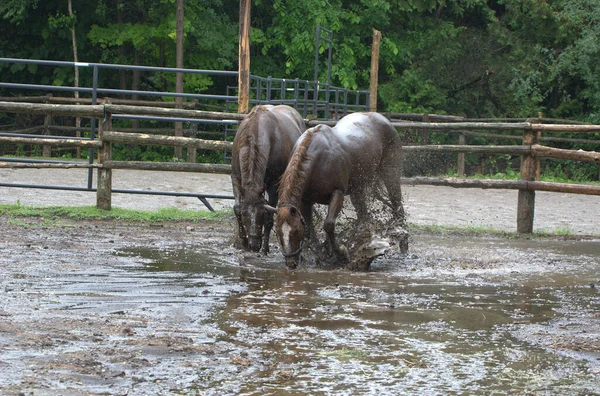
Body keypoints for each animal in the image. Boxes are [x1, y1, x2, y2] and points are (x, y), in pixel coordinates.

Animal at [230, 105, 304, 254]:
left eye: (261, 214)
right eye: (245, 214)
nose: (254, 245)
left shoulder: (273, 185)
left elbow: (270, 218)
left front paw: (265, 249)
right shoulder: (236, 178)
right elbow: (237, 207)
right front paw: (243, 241)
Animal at [268, 111, 406, 270]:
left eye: (296, 230)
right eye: (278, 232)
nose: (291, 263)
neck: (318, 159)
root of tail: (384, 119)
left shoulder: (337, 194)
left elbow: (328, 225)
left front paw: (341, 253)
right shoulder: (305, 202)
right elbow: (309, 229)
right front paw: (315, 256)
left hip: (390, 177)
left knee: (398, 207)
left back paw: (403, 244)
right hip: (357, 190)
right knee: (363, 218)